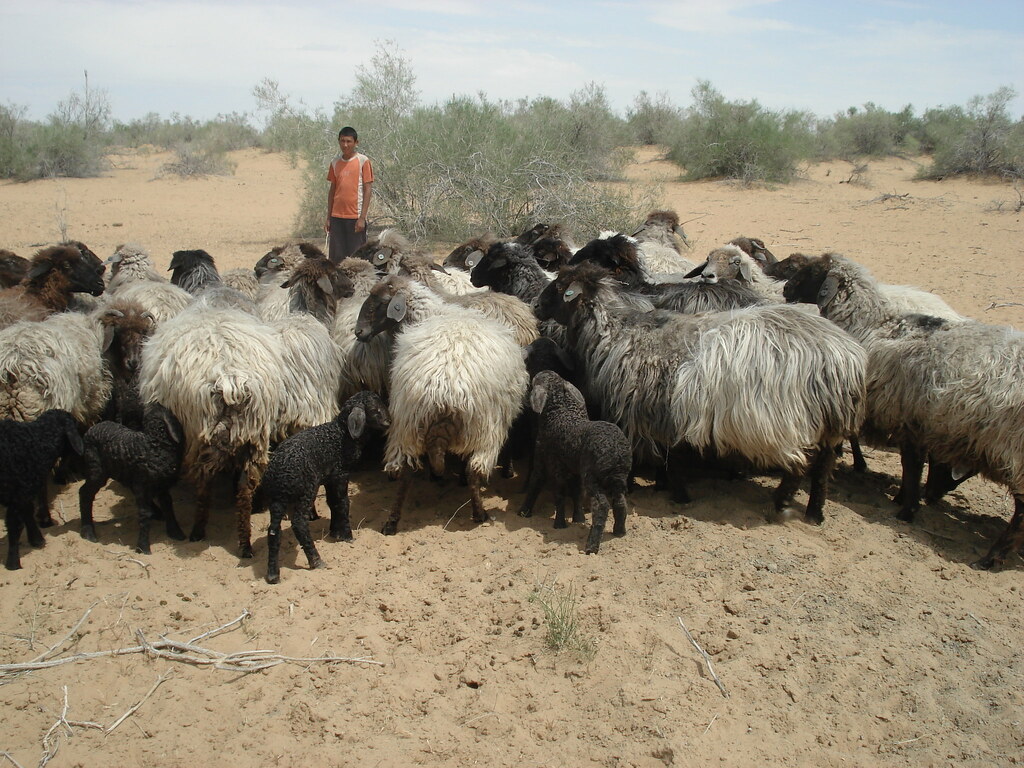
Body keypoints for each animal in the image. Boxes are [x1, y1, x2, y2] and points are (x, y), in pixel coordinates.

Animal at [0, 411, 82, 569]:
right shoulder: (18, 493)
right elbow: (15, 526)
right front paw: (13, 563)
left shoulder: (24, 491)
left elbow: (28, 513)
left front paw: (36, 539)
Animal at [520, 370, 630, 552]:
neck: (561, 411)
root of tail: (617, 453)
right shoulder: (575, 469)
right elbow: (577, 492)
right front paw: (578, 519)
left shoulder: (548, 461)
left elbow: (543, 487)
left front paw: (528, 513)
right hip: (618, 478)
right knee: (620, 502)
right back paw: (619, 532)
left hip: (592, 475)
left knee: (601, 506)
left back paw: (591, 546)